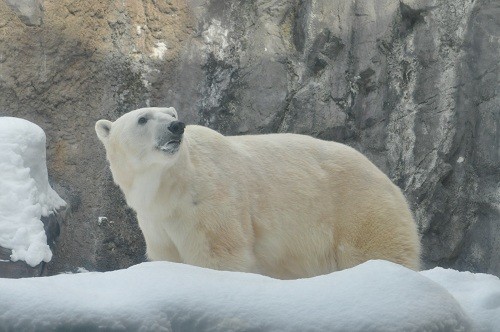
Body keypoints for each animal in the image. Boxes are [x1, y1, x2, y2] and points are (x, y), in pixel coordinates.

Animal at [95, 106, 420, 278]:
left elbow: (220, 255)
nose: (176, 126)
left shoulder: (211, 202)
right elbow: (168, 256)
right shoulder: (155, 222)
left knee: (377, 249)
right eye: (142, 118)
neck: (170, 188)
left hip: (357, 208)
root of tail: (386, 178)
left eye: (170, 111)